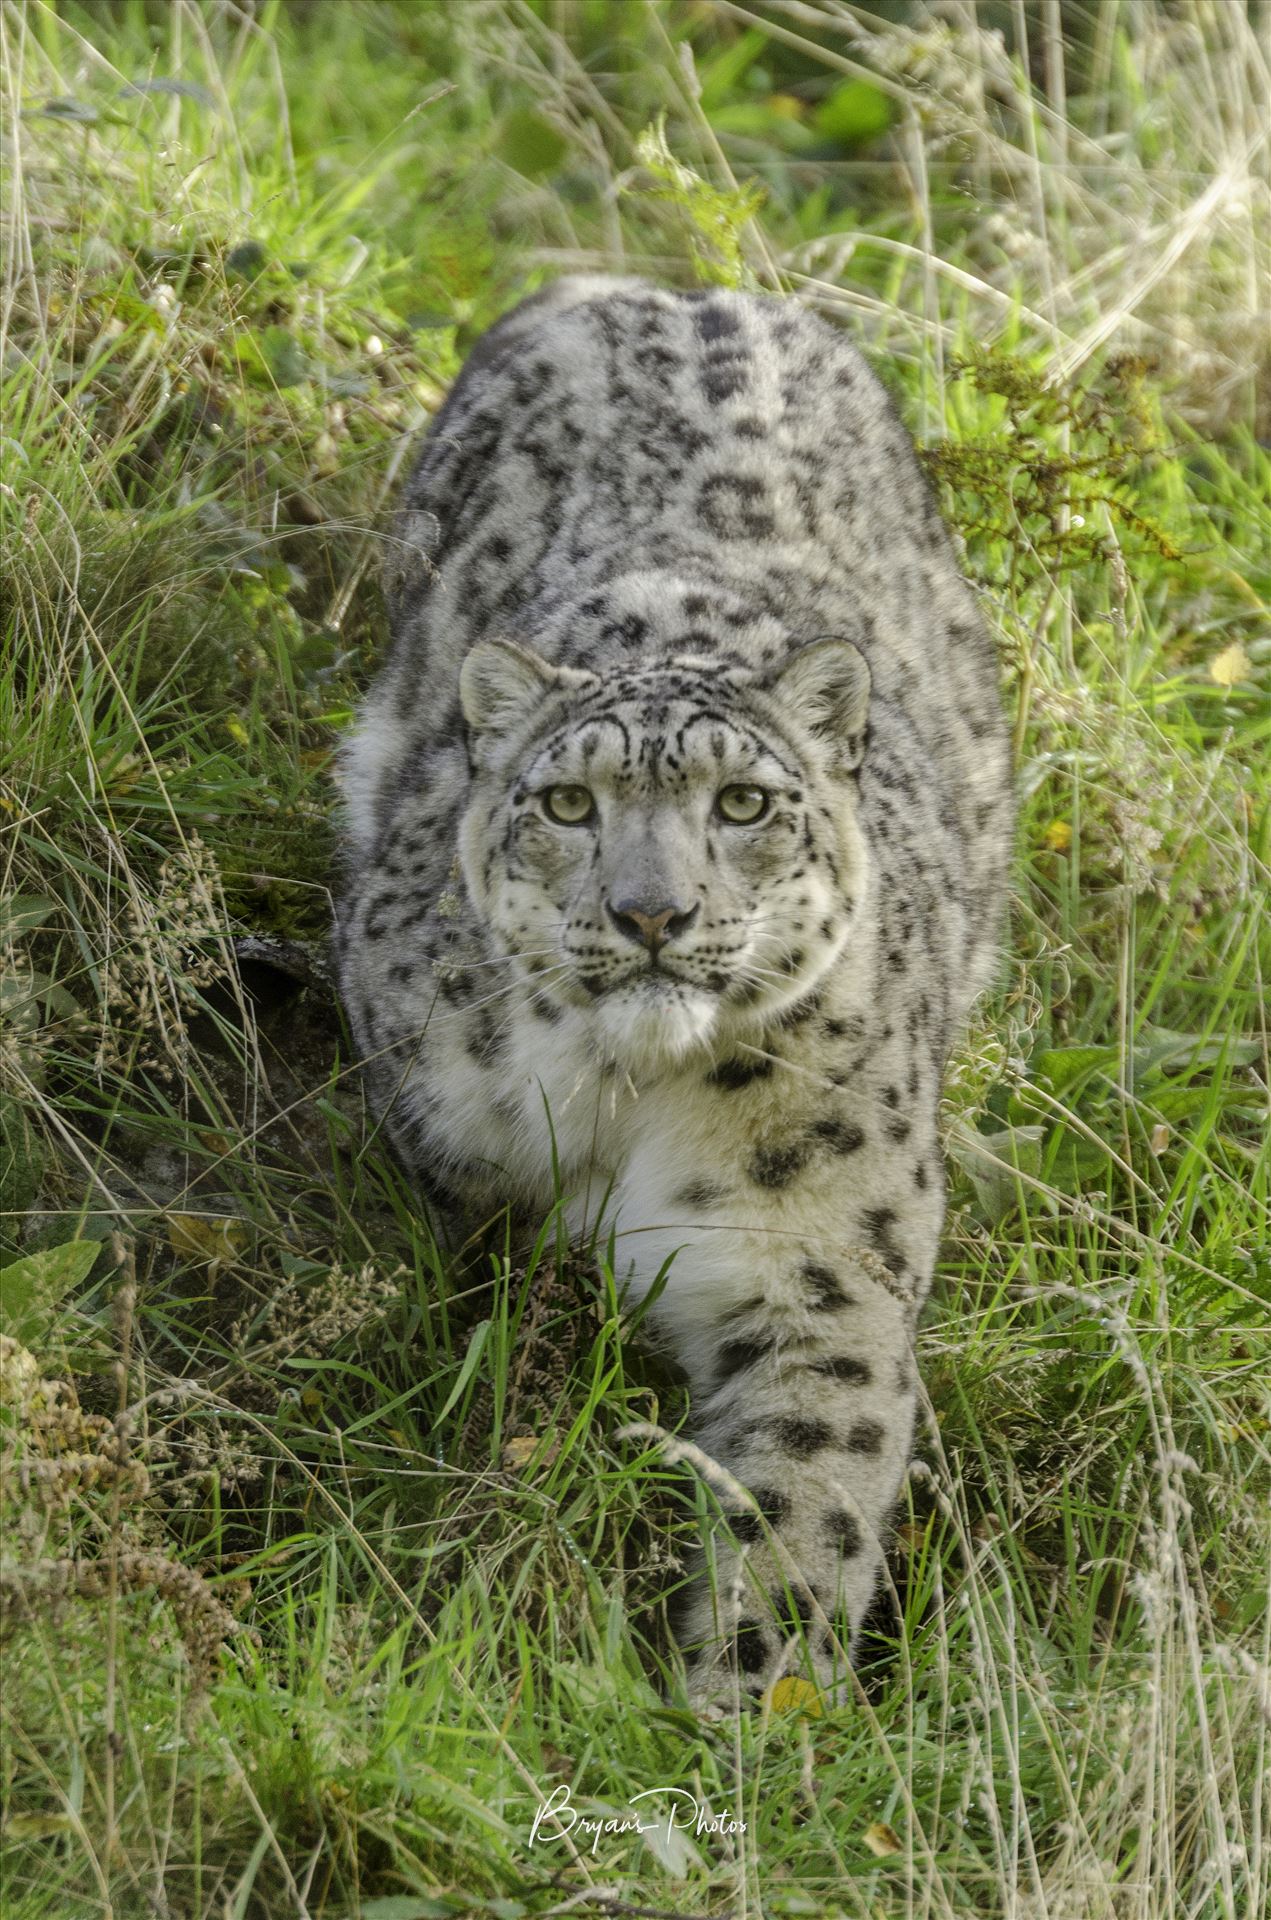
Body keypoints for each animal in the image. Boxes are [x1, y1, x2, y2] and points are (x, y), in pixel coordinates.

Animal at [337, 278, 1013, 1704]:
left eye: (742, 802)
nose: (651, 914)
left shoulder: (818, 1267)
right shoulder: (432, 1109)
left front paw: (748, 1704)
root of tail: (678, 284)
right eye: (566, 803)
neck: (626, 1094)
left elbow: (806, 1500)